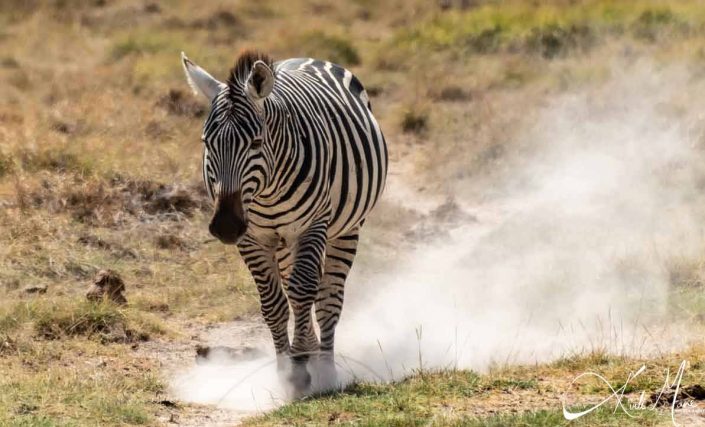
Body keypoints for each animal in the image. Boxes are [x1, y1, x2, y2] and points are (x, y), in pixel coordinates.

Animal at [179, 49, 388, 394]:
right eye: (206, 143)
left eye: (256, 143)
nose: (225, 226)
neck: (266, 192)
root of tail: (309, 58)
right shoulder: (252, 238)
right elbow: (273, 303)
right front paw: (286, 371)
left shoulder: (311, 227)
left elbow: (304, 292)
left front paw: (302, 364)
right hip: (286, 243)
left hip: (344, 230)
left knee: (327, 297)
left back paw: (325, 369)